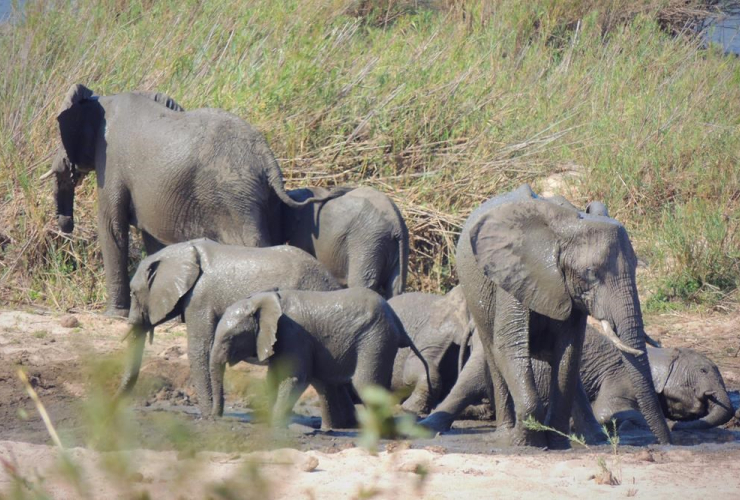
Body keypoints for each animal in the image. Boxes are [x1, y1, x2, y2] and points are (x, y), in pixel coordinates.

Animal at [47, 82, 342, 316]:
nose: (66, 225)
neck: (102, 99)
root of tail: (267, 158)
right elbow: (153, 239)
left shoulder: (112, 162)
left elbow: (111, 227)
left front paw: (113, 316)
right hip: (263, 199)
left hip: (236, 198)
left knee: (253, 244)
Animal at [118, 238, 342, 414]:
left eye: (133, 293)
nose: (114, 402)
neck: (182, 251)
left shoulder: (199, 299)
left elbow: (199, 350)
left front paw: (208, 416)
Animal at [208, 288, 428, 428]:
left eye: (230, 338)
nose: (216, 418)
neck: (261, 299)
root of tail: (398, 323)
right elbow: (273, 378)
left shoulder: (293, 334)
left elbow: (294, 378)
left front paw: (275, 425)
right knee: (325, 383)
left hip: (376, 338)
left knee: (365, 384)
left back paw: (387, 435)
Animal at [420, 185, 672, 450]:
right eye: (591, 273)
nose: (665, 442)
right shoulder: (513, 273)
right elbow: (509, 345)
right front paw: (526, 442)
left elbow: (568, 351)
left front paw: (556, 442)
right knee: (493, 353)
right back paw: (503, 436)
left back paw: (594, 439)